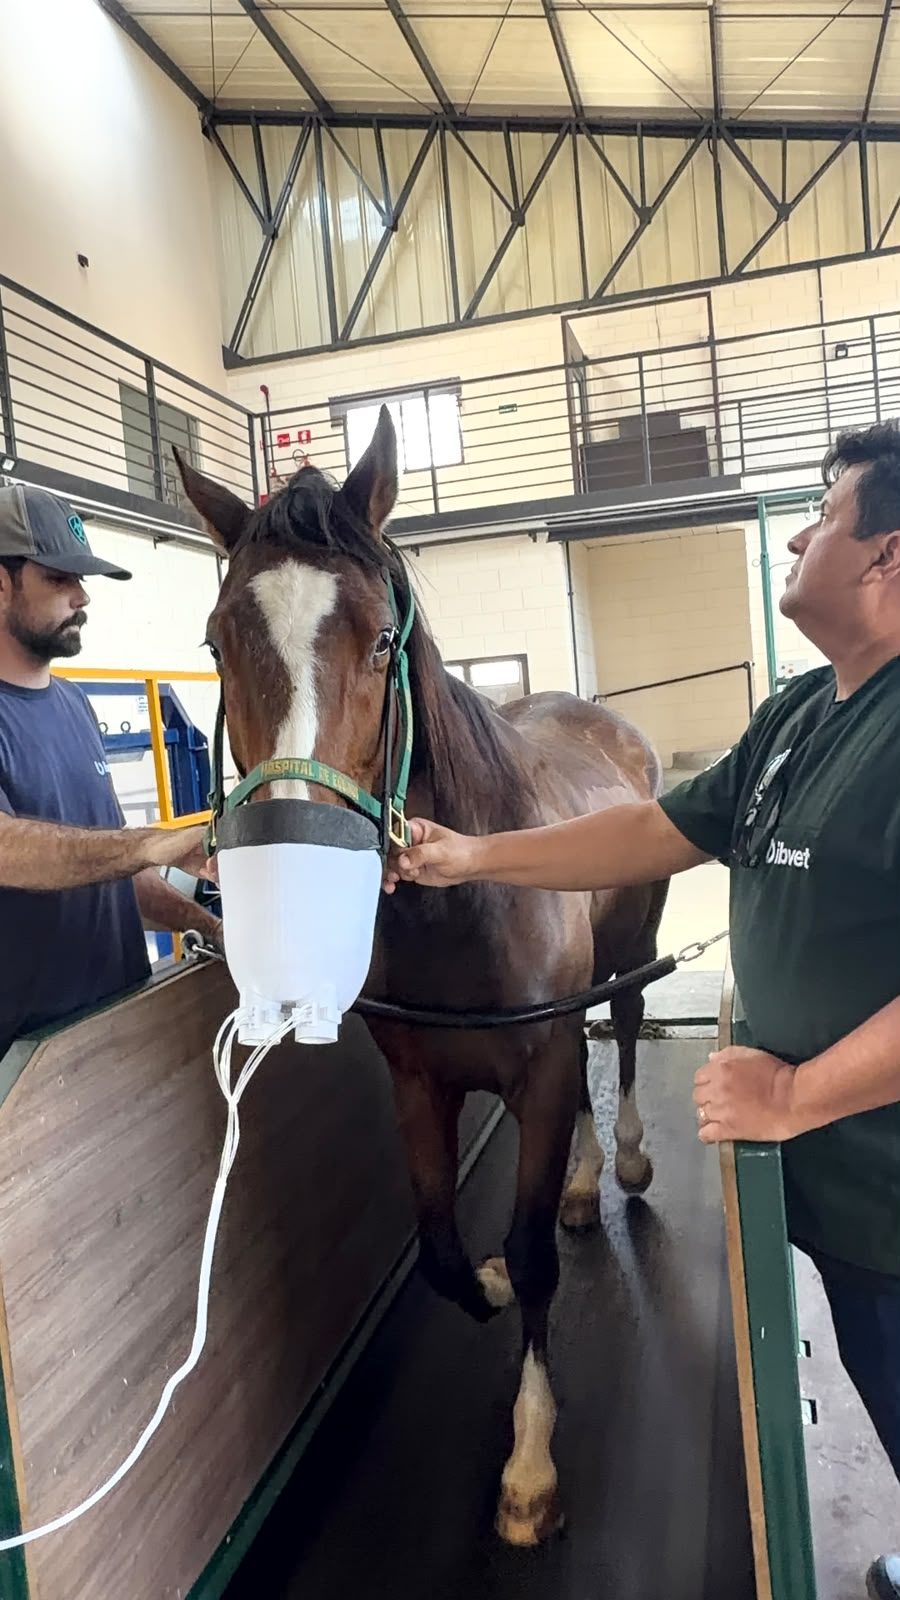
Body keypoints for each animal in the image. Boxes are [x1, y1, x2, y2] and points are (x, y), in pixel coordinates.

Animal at [175, 409, 669, 1547]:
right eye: (218, 641)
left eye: (381, 640)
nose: (291, 854)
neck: (464, 905)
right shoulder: (419, 1084)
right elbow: (446, 1250)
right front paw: (484, 1278)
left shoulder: (538, 1067)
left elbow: (529, 1255)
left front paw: (530, 1459)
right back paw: (585, 1183)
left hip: (629, 954)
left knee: (622, 1030)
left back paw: (618, 1163)